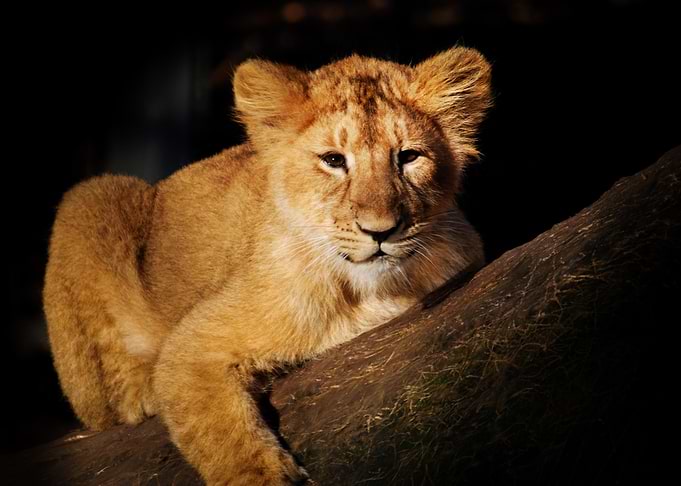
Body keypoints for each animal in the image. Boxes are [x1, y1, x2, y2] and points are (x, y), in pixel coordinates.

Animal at [43, 46, 492, 485]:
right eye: (333, 160)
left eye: (409, 157)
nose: (379, 230)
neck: (368, 291)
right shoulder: (192, 345)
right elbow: (223, 437)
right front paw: (259, 473)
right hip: (91, 197)